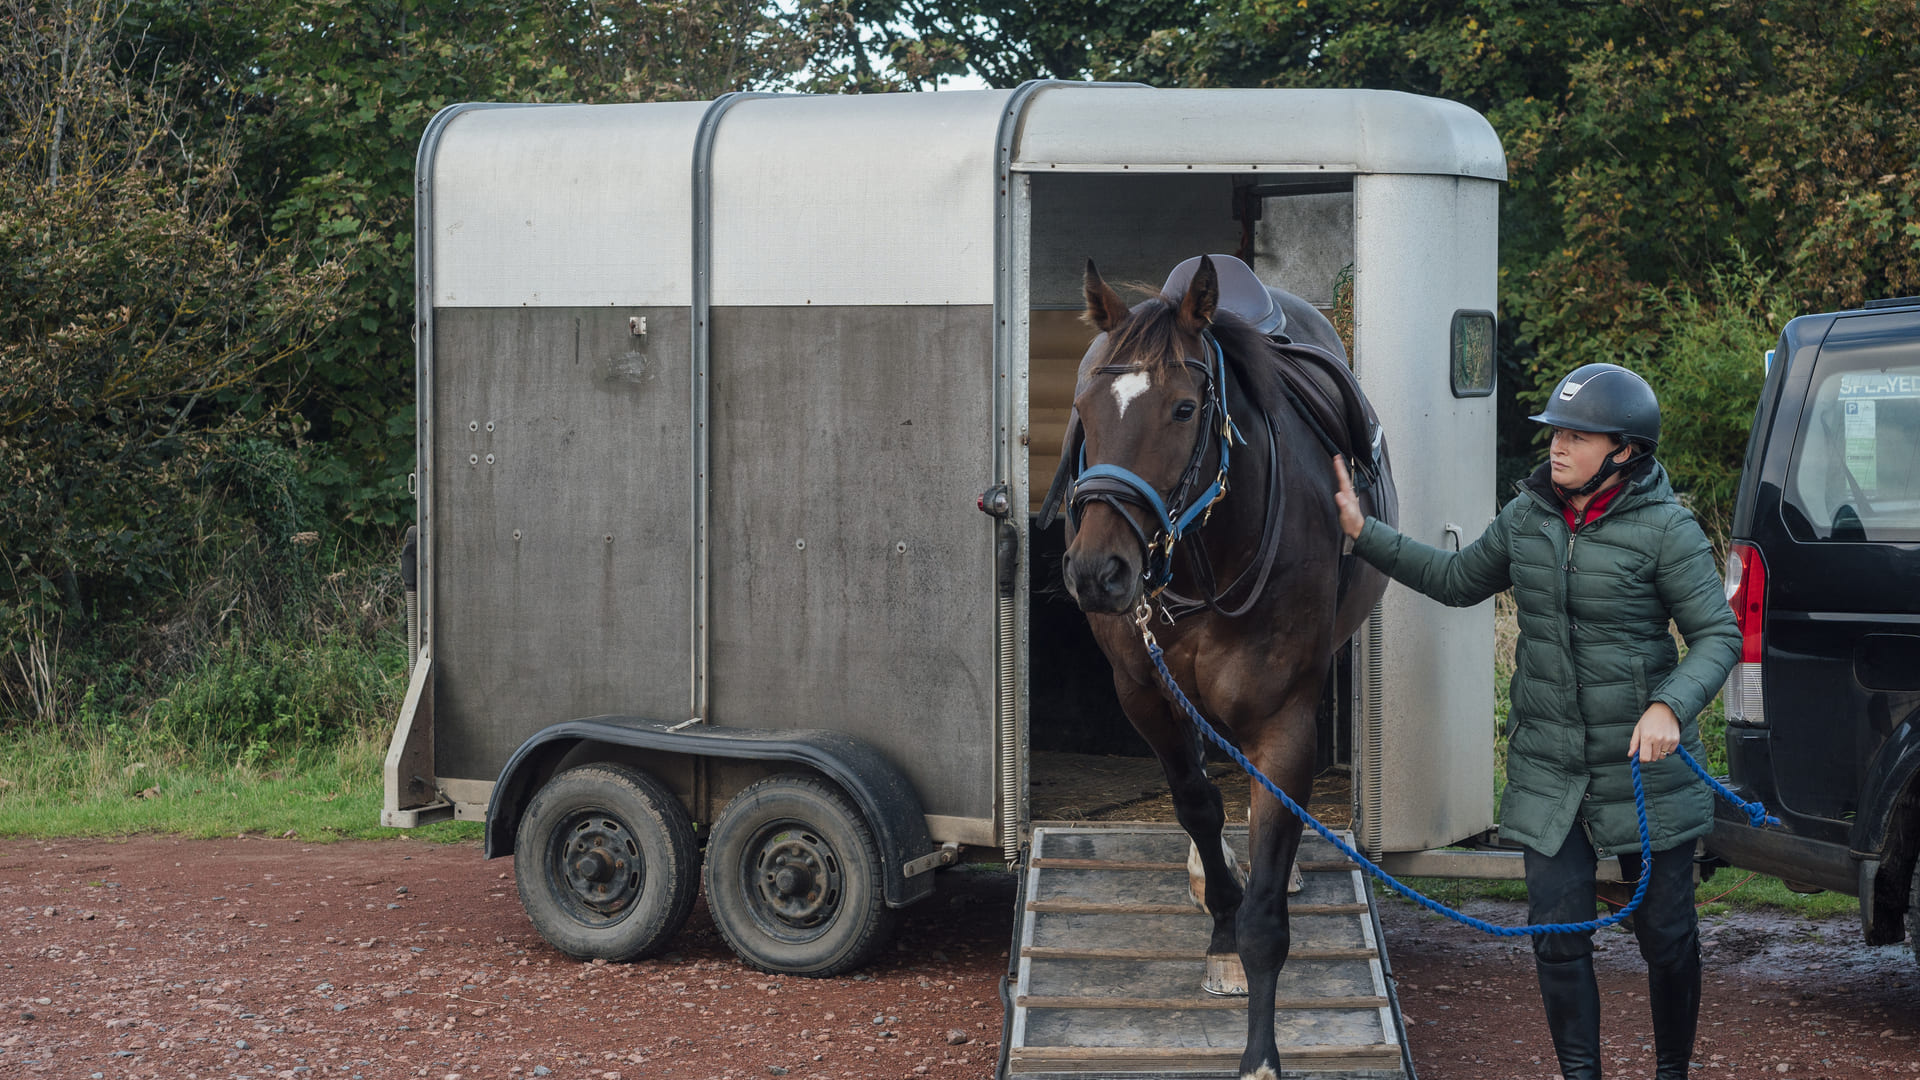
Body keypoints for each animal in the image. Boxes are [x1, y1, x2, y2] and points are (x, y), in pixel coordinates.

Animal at [1052, 253, 1397, 1076]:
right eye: (1085, 407)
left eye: (1183, 409)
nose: (1098, 573)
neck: (1209, 551)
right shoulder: (1146, 696)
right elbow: (1198, 806)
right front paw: (1219, 930)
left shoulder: (1284, 721)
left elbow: (1268, 907)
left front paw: (1261, 1054)